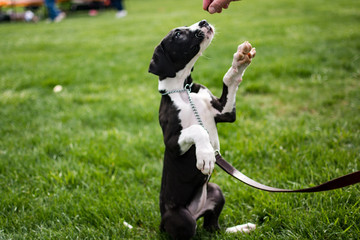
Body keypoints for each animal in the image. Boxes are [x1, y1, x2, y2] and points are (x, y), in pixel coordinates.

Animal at [148, 20, 256, 238]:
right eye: (177, 34)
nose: (204, 22)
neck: (184, 89)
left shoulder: (225, 112)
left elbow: (229, 81)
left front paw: (239, 62)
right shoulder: (172, 142)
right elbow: (198, 129)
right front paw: (205, 155)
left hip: (216, 191)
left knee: (213, 228)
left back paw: (241, 228)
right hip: (182, 218)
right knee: (194, 230)